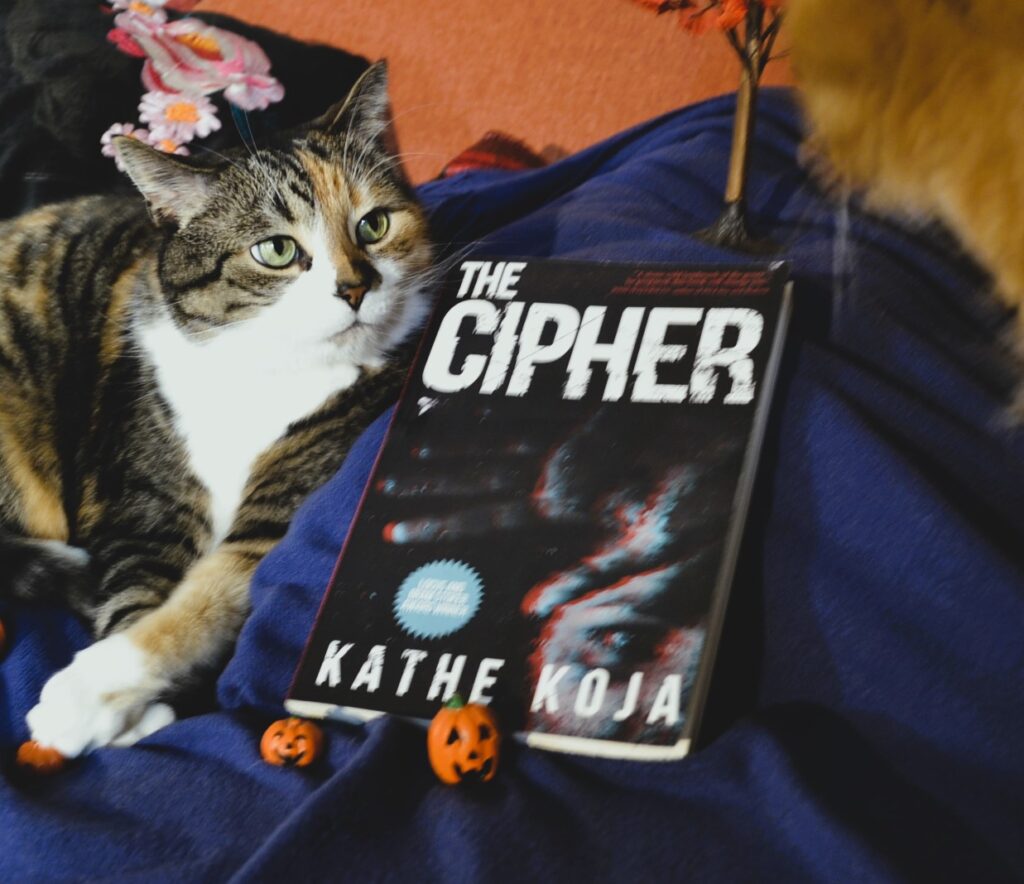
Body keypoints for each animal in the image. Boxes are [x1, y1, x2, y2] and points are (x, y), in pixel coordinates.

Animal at [0, 60, 432, 753]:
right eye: (276, 250)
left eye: (374, 225)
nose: (355, 287)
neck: (266, 373)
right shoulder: (142, 499)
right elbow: (137, 588)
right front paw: (129, 709)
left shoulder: (280, 512)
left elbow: (203, 600)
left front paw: (84, 697)